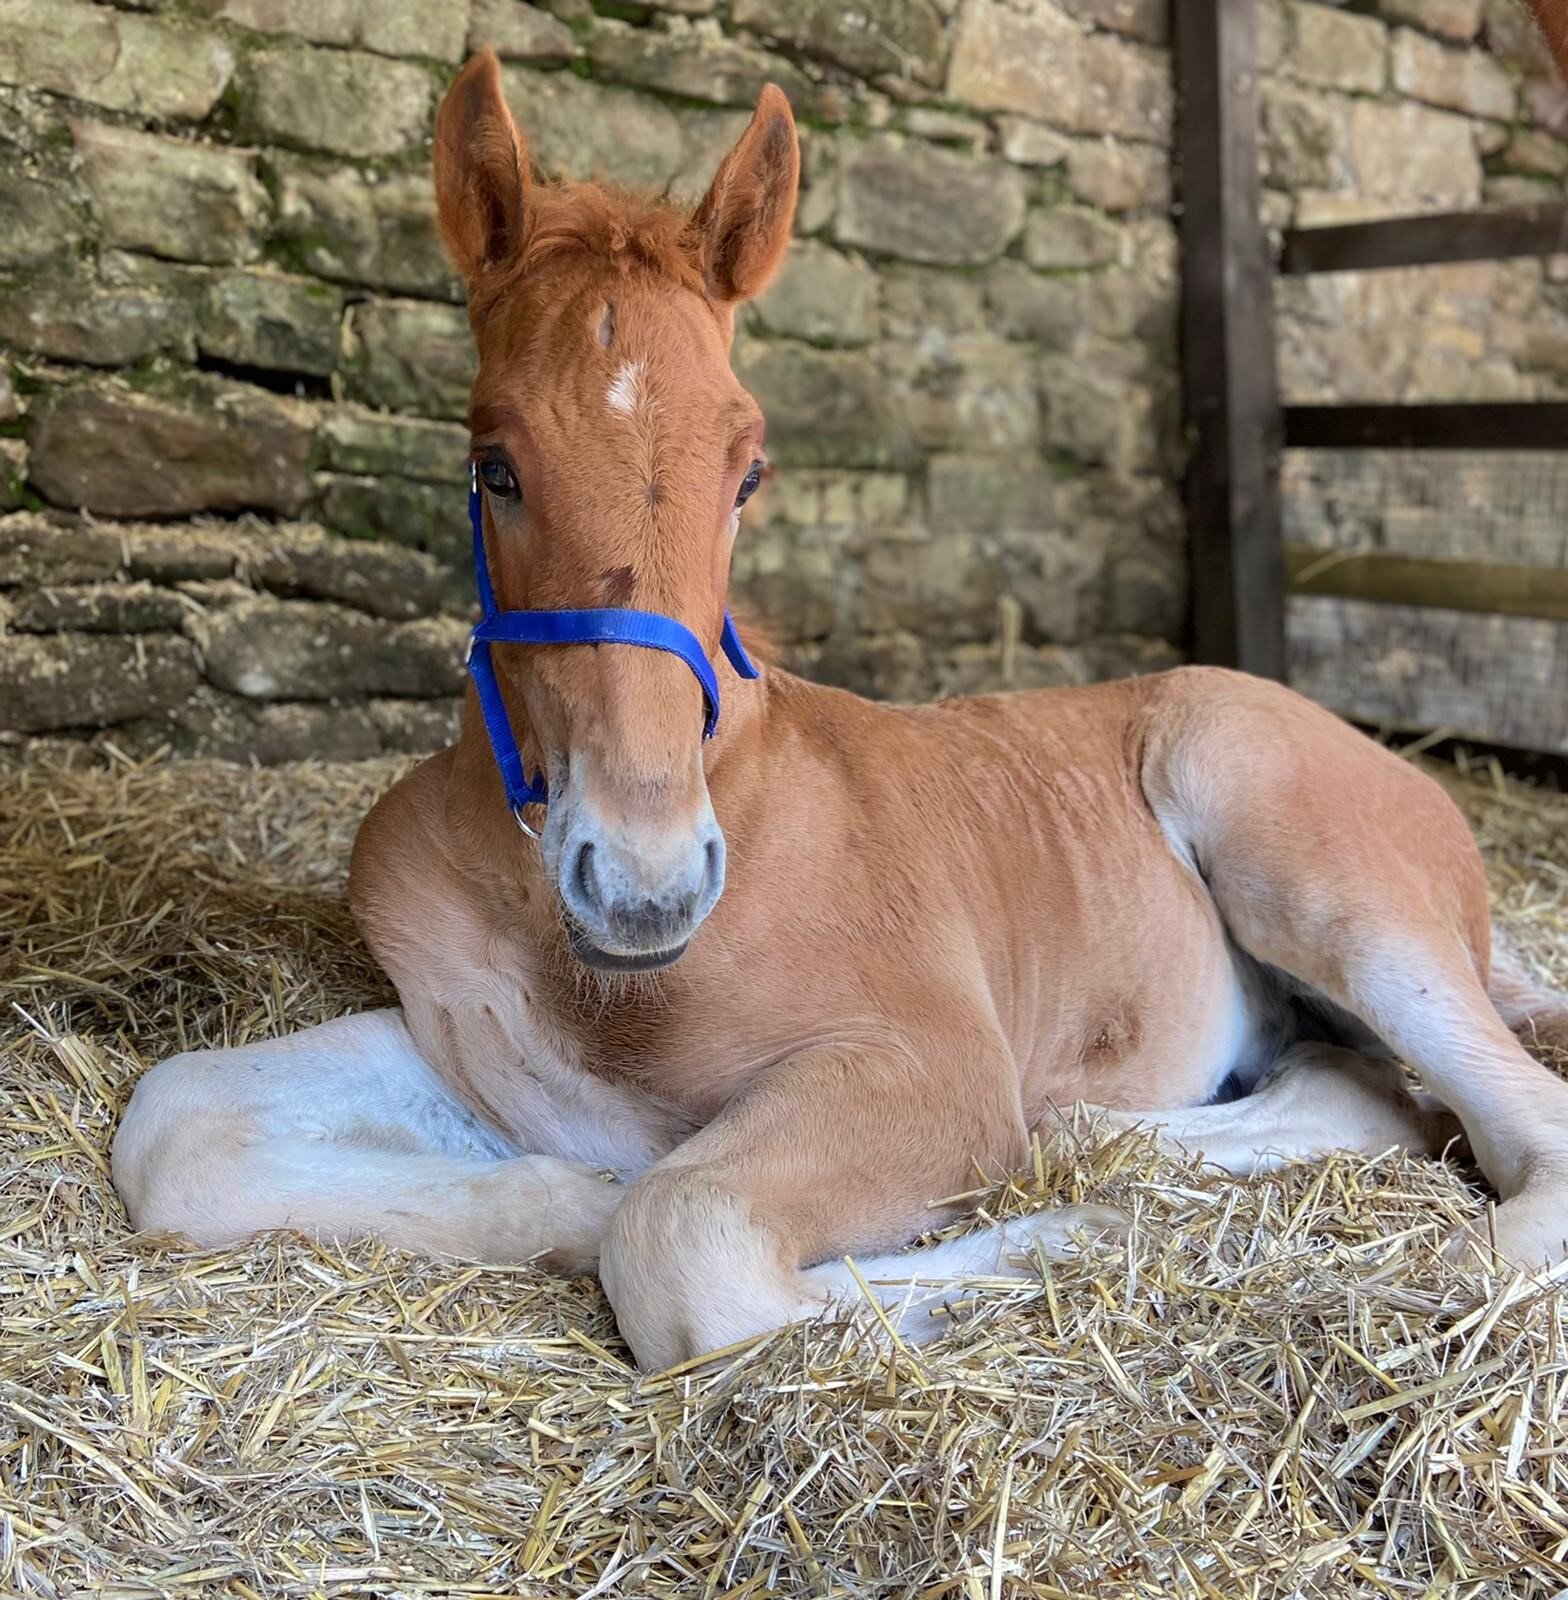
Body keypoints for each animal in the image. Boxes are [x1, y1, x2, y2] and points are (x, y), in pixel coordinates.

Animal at [116, 56, 1568, 1369]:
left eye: (749, 467)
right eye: (494, 464)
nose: (642, 884)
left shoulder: (926, 1063)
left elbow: (692, 1255)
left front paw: (1088, 1237)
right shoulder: (478, 1052)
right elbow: (175, 1122)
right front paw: (567, 1202)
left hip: (1294, 848)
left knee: (1519, 1128)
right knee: (1357, 1089)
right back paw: (1107, 1143)